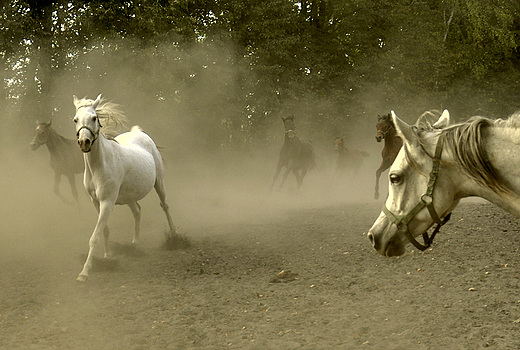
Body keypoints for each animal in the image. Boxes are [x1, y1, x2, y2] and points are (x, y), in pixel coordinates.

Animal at [73, 93, 177, 282]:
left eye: (94, 117)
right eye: (75, 119)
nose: (84, 142)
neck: (100, 164)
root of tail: (139, 132)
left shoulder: (107, 202)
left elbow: (95, 236)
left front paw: (84, 273)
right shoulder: (96, 202)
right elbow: (104, 230)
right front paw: (107, 255)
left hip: (159, 182)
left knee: (164, 205)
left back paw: (174, 234)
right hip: (130, 196)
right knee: (137, 211)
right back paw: (135, 243)